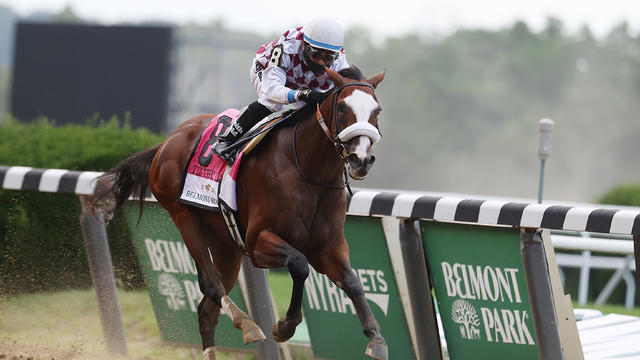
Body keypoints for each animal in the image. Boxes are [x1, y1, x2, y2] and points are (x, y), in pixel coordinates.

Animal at [95, 66, 384, 358]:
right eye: (343, 107)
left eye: (377, 110)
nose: (361, 159)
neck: (309, 172)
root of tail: (168, 141)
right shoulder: (258, 243)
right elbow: (299, 264)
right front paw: (284, 326)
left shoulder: (327, 248)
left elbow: (352, 281)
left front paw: (376, 337)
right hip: (185, 218)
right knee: (211, 283)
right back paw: (246, 323)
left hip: (225, 244)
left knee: (206, 310)